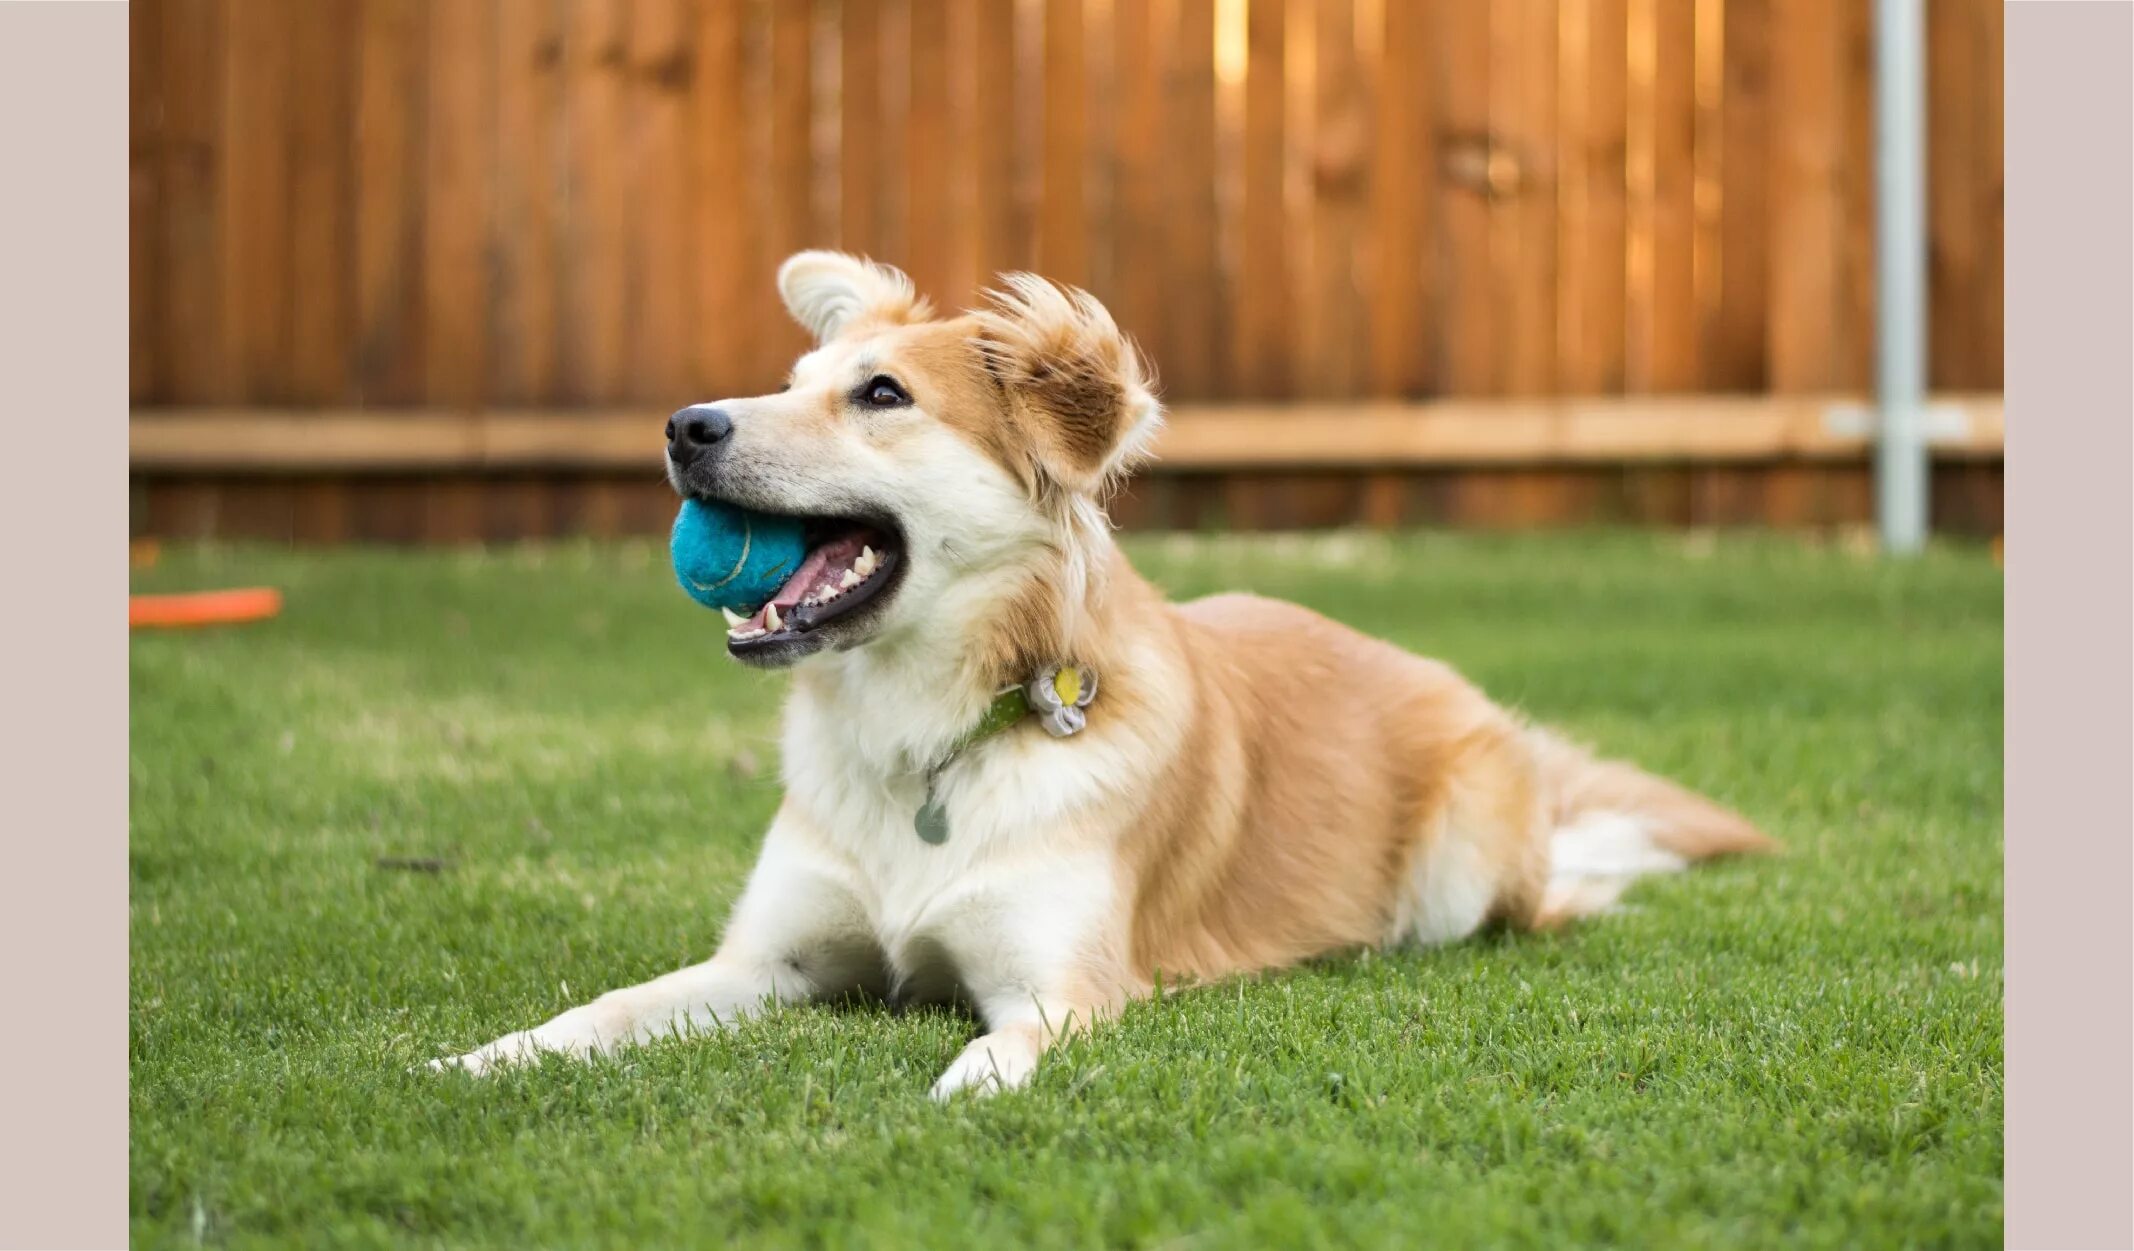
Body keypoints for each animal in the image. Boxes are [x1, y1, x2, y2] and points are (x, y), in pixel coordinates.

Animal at [433, 245, 1766, 1093]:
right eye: (789, 384)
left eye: (881, 394)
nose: (683, 426)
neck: (930, 740)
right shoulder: (764, 961)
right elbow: (606, 1009)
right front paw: (481, 1056)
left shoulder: (1064, 986)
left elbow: (998, 1050)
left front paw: (968, 1084)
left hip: (1460, 869)